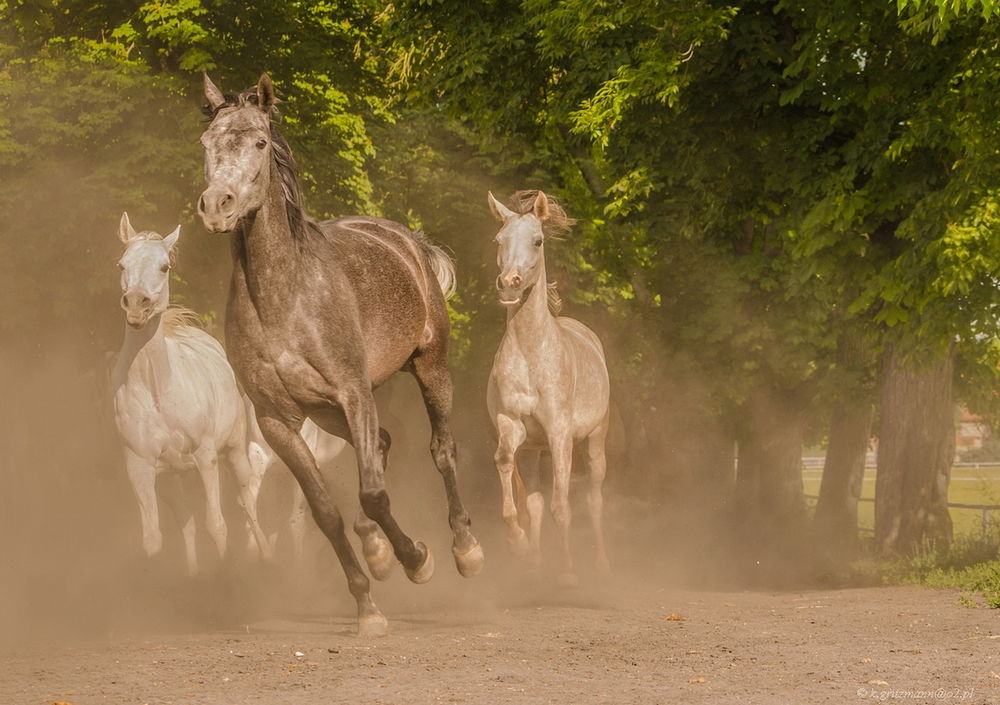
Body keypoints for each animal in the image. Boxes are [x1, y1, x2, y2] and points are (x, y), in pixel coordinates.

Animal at [110, 214, 270, 576]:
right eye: (122, 264)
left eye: (164, 266)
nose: (137, 305)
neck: (157, 390)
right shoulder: (138, 466)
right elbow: (153, 538)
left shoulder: (206, 457)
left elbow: (217, 525)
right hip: (172, 479)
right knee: (187, 522)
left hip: (234, 453)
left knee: (249, 506)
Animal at [196, 74, 484, 636]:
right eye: (206, 142)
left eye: (259, 142)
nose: (217, 205)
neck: (284, 299)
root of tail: (407, 240)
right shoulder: (278, 420)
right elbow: (325, 511)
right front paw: (368, 604)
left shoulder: (353, 393)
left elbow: (374, 491)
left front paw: (418, 560)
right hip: (326, 413)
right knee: (383, 446)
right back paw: (376, 548)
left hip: (429, 366)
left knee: (440, 450)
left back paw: (463, 549)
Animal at [484, 190, 608, 584]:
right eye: (499, 239)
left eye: (537, 240)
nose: (509, 283)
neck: (530, 353)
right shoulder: (512, 426)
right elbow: (507, 468)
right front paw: (518, 544)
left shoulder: (559, 434)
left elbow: (562, 506)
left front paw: (567, 572)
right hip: (534, 450)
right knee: (536, 502)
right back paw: (536, 564)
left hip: (595, 439)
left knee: (594, 499)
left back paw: (600, 564)